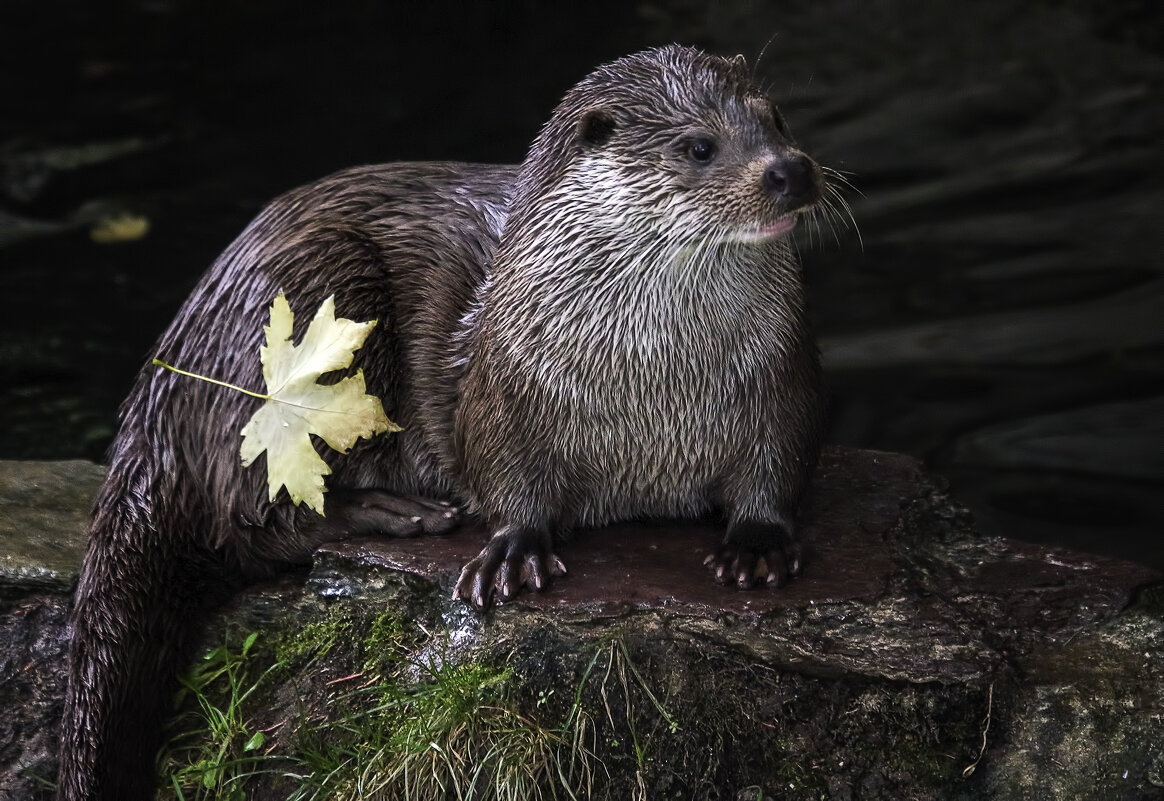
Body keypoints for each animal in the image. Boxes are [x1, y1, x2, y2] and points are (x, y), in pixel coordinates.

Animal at [61, 45, 828, 801]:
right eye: (699, 146)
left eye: (775, 117)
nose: (790, 170)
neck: (652, 378)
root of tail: (159, 388)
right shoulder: (506, 385)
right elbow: (503, 472)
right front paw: (514, 547)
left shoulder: (782, 377)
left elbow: (778, 464)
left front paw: (756, 543)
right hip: (298, 309)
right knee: (246, 519)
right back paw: (394, 510)